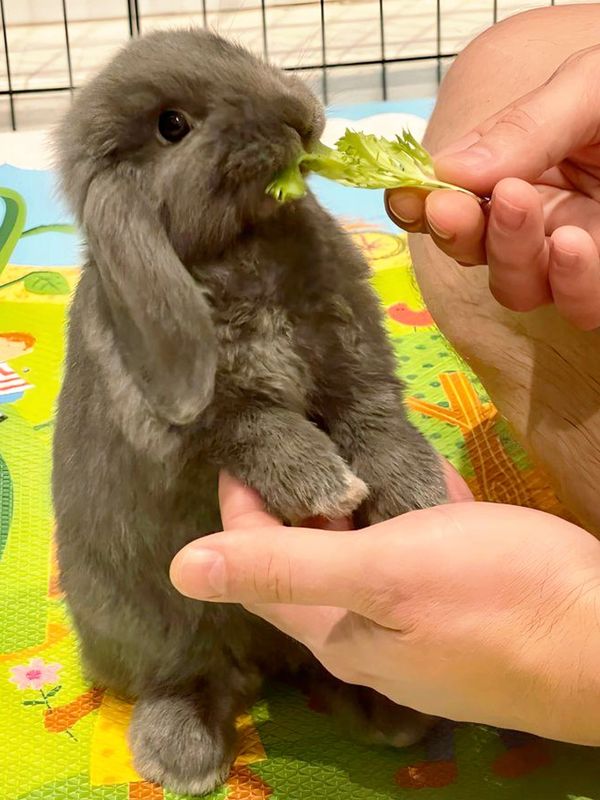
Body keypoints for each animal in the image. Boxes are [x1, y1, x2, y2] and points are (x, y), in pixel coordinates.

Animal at [52, 28, 447, 796]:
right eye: (172, 126)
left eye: (230, 48)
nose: (297, 114)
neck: (244, 246)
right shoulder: (211, 421)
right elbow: (266, 432)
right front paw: (329, 489)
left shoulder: (353, 362)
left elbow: (375, 419)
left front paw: (419, 493)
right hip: (154, 622)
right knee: (184, 676)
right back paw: (183, 756)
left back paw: (391, 714)